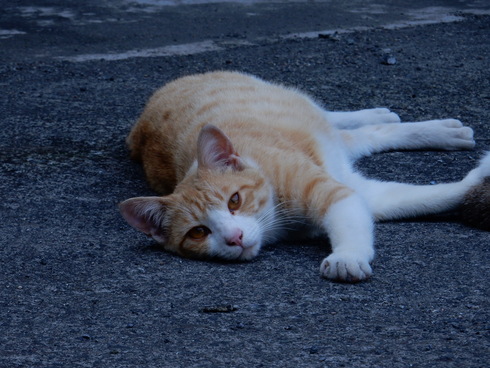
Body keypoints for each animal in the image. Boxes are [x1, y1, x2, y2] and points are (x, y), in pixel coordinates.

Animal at [119, 70, 490, 282]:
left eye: (234, 200)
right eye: (198, 232)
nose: (234, 238)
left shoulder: (333, 191)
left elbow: (349, 223)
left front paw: (347, 256)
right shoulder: (364, 194)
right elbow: (426, 196)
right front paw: (472, 184)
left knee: (347, 123)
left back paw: (407, 121)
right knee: (366, 135)